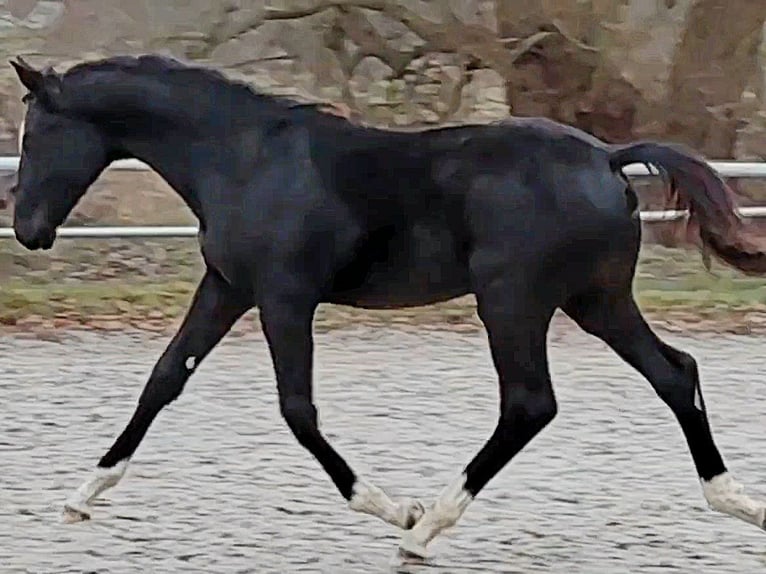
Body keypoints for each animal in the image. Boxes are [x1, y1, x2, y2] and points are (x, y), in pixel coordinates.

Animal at [2, 53, 765, 560]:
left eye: (36, 135)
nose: (29, 231)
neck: (244, 159)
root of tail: (607, 158)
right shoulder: (226, 287)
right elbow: (162, 379)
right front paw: (83, 496)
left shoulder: (284, 297)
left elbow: (298, 411)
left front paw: (394, 510)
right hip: (595, 300)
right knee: (674, 373)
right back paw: (739, 502)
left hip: (513, 301)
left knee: (529, 403)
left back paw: (425, 531)